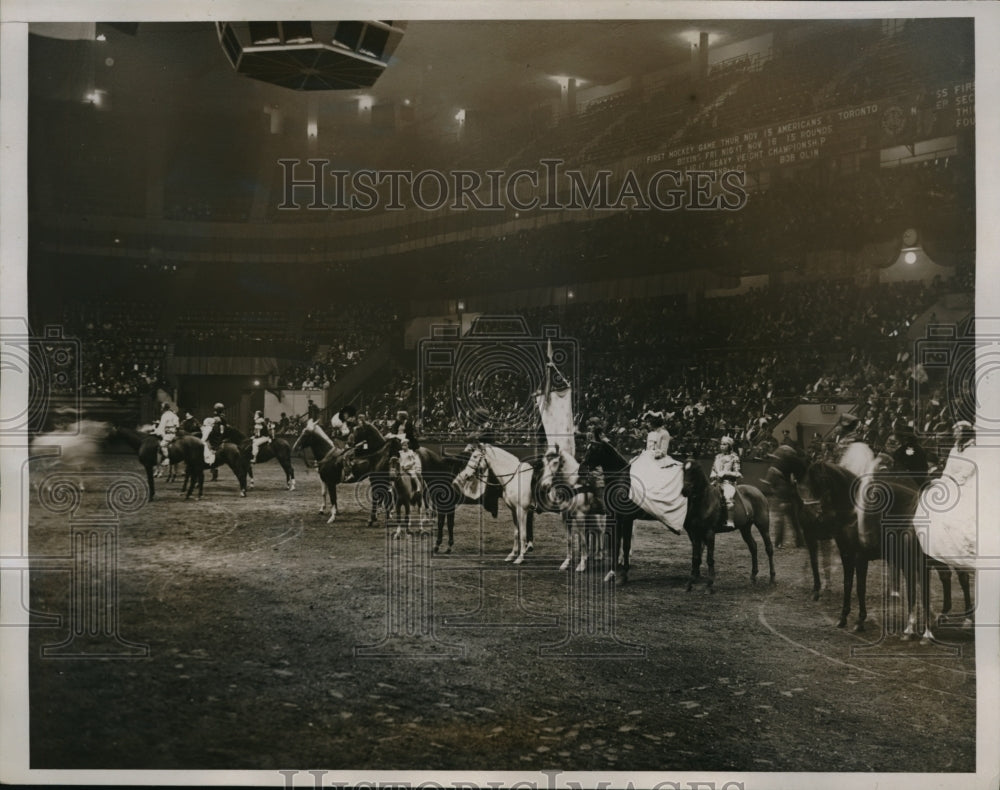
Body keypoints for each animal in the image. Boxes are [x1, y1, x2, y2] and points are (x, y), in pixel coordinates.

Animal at [676, 458, 776, 592]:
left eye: (695, 470)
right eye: (683, 470)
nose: (684, 490)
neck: (704, 502)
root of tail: (758, 492)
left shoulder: (709, 533)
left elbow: (709, 558)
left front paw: (709, 584)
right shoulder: (695, 533)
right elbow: (696, 558)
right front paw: (690, 583)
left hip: (763, 525)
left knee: (769, 548)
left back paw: (772, 579)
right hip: (745, 528)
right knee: (753, 547)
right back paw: (753, 577)